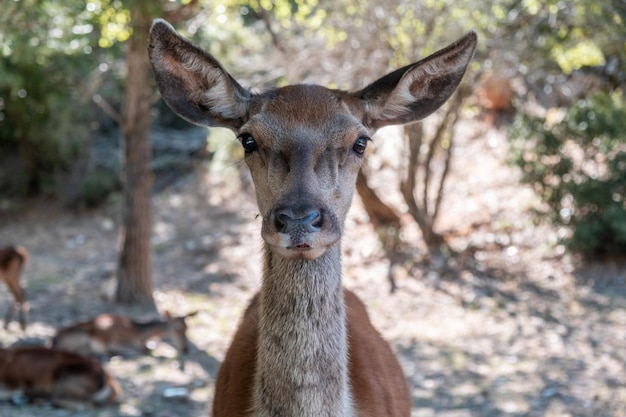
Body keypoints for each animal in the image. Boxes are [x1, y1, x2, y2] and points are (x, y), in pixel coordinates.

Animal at [51, 308, 195, 358]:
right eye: (176, 329)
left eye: (187, 328)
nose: (186, 349)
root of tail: (54, 341)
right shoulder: (115, 342)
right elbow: (144, 350)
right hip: (81, 337)